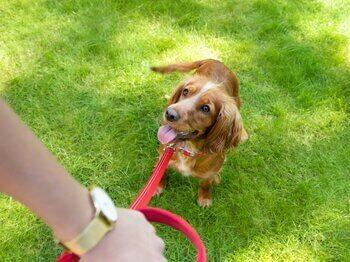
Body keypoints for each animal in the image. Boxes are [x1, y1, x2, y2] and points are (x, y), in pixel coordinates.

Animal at [152, 59, 247, 207]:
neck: (189, 148)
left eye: (205, 108)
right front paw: (157, 187)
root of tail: (216, 60)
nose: (169, 113)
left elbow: (206, 184)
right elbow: (160, 172)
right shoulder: (163, 154)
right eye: (185, 91)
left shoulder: (211, 172)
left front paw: (204, 198)